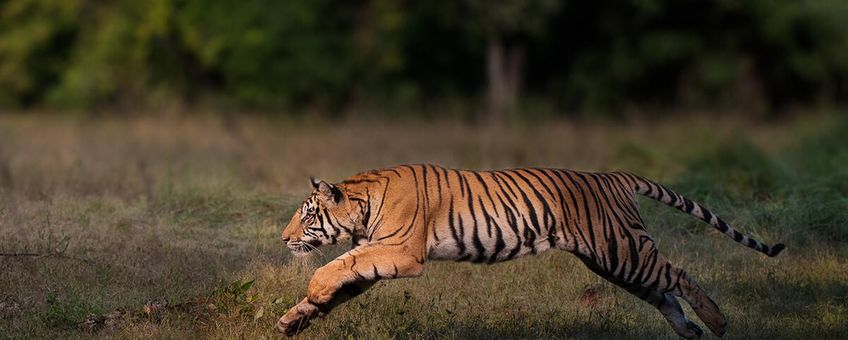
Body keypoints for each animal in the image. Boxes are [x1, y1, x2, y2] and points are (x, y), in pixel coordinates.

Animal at [274, 164, 784, 338]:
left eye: (307, 216)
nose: (282, 238)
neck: (362, 204)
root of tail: (613, 176)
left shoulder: (400, 253)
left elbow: (339, 266)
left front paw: (312, 291)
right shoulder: (378, 256)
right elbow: (341, 278)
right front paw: (295, 319)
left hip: (622, 250)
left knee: (679, 275)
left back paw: (716, 323)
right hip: (616, 263)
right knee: (663, 292)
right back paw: (689, 331)